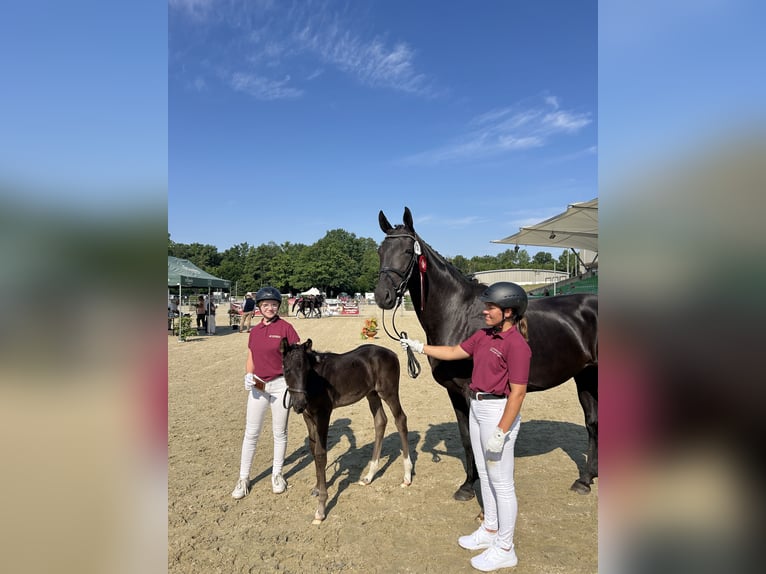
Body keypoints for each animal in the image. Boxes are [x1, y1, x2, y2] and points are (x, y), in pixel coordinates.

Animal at [280, 338, 413, 524]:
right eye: (286, 369)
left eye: (307, 371)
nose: (299, 404)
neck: (316, 381)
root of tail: (392, 353)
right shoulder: (308, 417)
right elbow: (313, 450)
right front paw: (317, 488)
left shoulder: (323, 414)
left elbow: (321, 454)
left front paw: (321, 508)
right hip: (372, 394)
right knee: (380, 421)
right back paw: (369, 476)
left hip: (388, 391)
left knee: (400, 419)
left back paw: (407, 475)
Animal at [375, 207, 598, 499]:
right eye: (380, 251)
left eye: (407, 251)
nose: (383, 296)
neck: (457, 313)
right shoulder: (454, 392)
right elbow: (466, 438)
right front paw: (468, 484)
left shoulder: (472, 392)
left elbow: (477, 439)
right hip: (585, 375)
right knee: (592, 423)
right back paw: (586, 478)